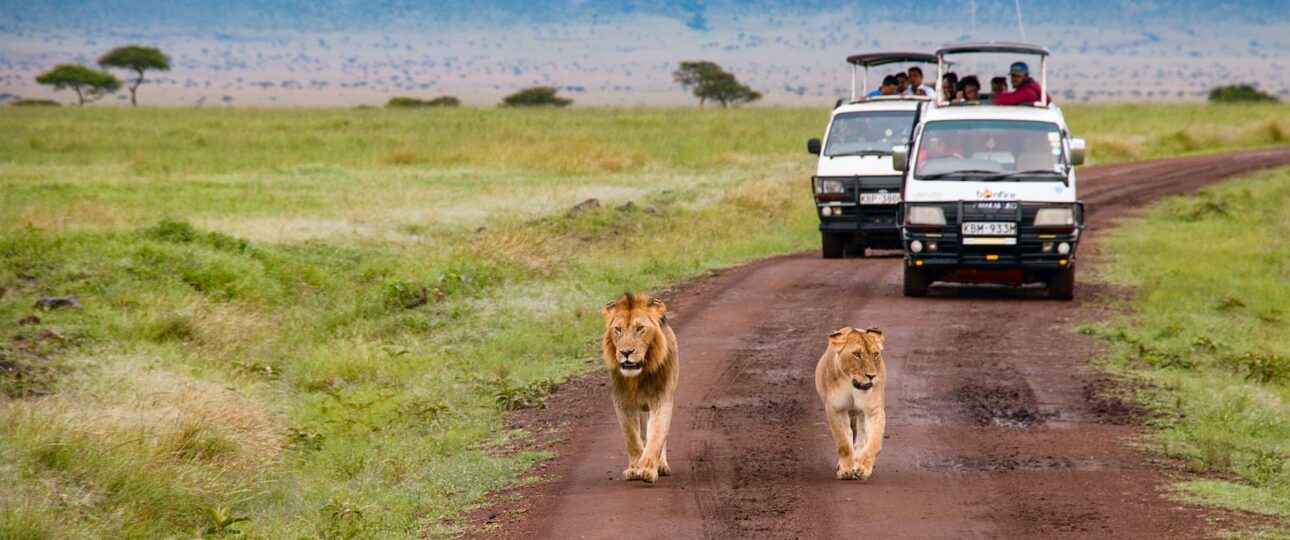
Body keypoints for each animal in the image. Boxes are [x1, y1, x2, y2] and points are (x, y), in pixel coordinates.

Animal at [601, 293, 681, 484]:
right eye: (618, 329)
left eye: (640, 328)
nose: (626, 352)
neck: (637, 377)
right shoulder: (622, 403)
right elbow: (631, 438)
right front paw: (634, 468)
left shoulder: (661, 400)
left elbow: (656, 436)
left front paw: (647, 470)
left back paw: (661, 465)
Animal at [815, 327, 887, 479]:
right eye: (856, 354)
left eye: (875, 354)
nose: (872, 376)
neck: (853, 384)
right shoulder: (835, 409)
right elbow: (843, 442)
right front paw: (845, 470)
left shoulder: (874, 409)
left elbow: (874, 442)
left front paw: (862, 468)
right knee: (850, 433)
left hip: (860, 413)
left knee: (861, 436)